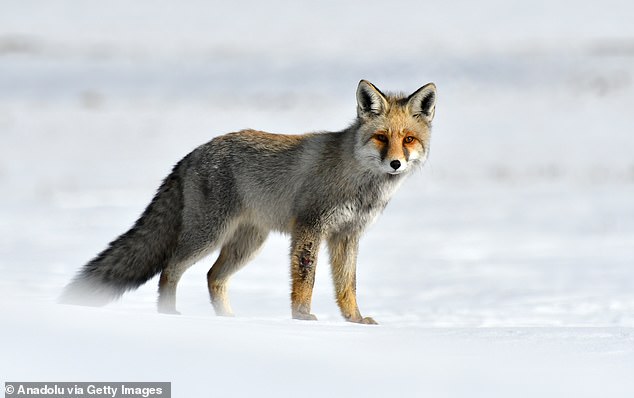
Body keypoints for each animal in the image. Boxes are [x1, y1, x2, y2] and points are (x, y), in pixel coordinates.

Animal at [59, 80, 434, 324]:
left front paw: (354, 321)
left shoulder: (347, 236)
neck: (359, 182)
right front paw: (301, 318)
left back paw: (229, 320)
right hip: (207, 235)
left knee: (213, 277)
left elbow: (347, 286)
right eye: (381, 137)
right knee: (169, 269)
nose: (395, 163)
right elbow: (306, 279)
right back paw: (169, 315)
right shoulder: (310, 227)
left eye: (408, 139)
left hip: (248, 243)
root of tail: (191, 154)